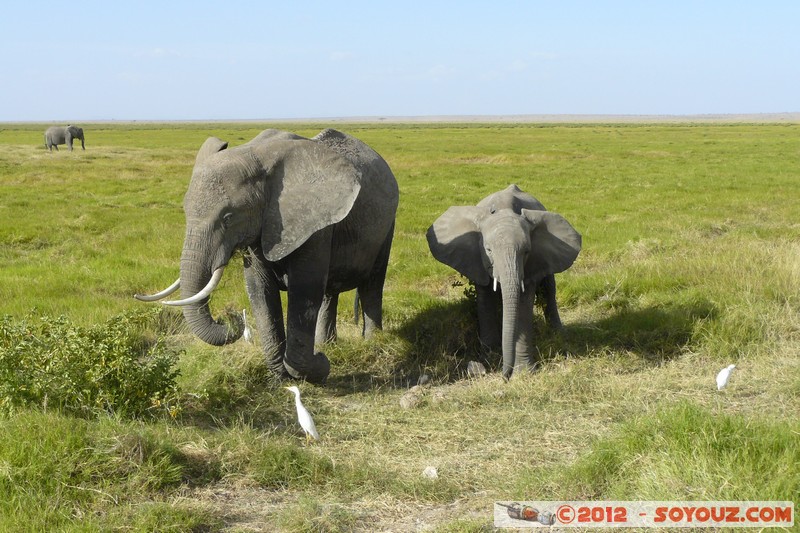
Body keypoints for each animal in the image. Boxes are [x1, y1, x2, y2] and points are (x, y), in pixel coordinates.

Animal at [140, 129, 400, 382]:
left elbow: (305, 290)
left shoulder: (313, 224)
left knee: (372, 284)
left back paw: (371, 342)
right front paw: (282, 378)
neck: (255, 154)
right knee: (329, 293)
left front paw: (320, 366)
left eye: (228, 218)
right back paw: (327, 345)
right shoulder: (262, 226)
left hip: (387, 225)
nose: (230, 316)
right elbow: (259, 290)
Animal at [424, 183, 580, 378]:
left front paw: (524, 372)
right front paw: (490, 358)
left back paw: (558, 334)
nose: (505, 376)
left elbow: (524, 304)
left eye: (526, 251)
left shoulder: (532, 261)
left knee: (549, 288)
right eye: (488, 250)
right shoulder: (477, 260)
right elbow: (485, 299)